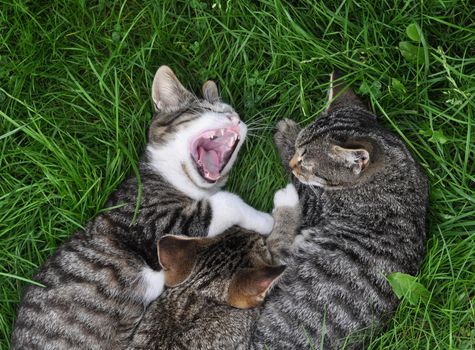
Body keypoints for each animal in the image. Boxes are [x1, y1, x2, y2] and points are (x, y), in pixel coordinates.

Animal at [11, 66, 274, 350]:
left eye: (233, 113)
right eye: (209, 110)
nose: (235, 118)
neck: (173, 175)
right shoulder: (153, 222)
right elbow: (225, 202)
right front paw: (265, 220)